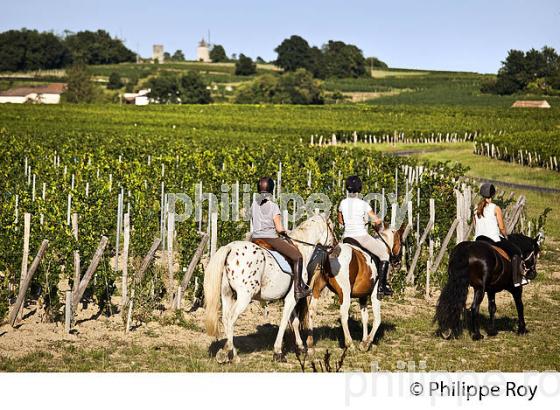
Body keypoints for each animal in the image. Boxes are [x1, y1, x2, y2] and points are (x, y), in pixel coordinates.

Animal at [203, 213, 332, 364]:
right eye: (332, 228)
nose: (335, 247)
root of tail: (230, 248)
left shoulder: (289, 297)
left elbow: (294, 321)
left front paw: (300, 347)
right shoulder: (292, 297)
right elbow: (284, 321)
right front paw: (278, 352)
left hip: (227, 294)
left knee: (225, 319)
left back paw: (232, 354)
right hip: (245, 296)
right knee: (231, 318)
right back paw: (227, 353)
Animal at [306, 224, 402, 352]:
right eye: (401, 241)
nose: (398, 262)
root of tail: (328, 253)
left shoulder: (363, 296)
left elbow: (365, 317)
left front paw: (363, 340)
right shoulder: (375, 294)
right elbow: (377, 319)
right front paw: (367, 343)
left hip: (317, 289)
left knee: (311, 310)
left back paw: (310, 344)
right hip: (344, 293)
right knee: (343, 314)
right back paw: (350, 344)